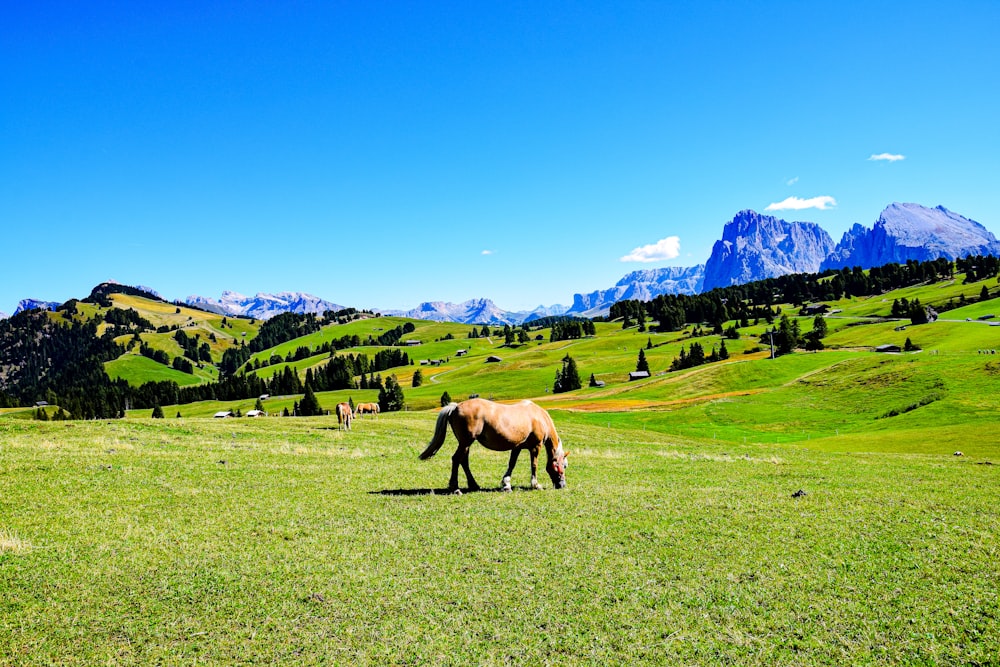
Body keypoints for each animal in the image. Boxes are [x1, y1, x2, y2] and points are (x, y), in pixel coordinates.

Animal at [416, 400, 572, 494]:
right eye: (563, 466)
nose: (562, 485)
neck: (539, 417)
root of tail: (456, 407)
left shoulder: (517, 447)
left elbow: (512, 464)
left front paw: (506, 484)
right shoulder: (535, 447)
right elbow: (534, 465)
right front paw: (535, 485)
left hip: (466, 444)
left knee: (463, 461)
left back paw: (473, 485)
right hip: (466, 442)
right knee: (456, 459)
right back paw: (455, 488)